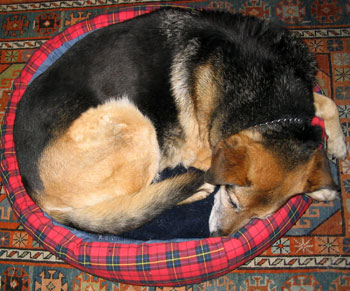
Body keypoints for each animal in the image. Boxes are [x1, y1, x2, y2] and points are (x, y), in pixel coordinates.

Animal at [13, 8, 344, 237]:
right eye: (233, 201)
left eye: (258, 219)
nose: (218, 236)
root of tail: (41, 197)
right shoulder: (205, 152)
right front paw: (322, 188)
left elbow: (328, 103)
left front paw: (337, 148)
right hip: (135, 120)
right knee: (136, 202)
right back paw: (194, 189)